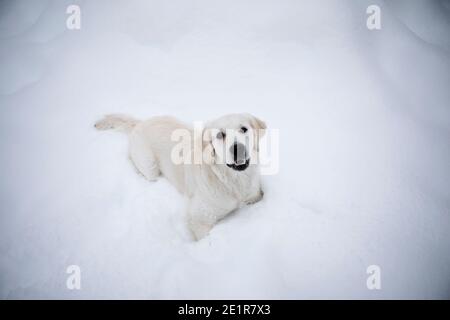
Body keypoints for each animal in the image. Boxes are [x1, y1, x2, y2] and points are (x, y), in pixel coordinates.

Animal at [94, 113, 264, 240]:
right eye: (220, 135)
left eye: (244, 129)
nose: (238, 149)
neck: (232, 180)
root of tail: (141, 122)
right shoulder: (199, 219)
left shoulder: (254, 195)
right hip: (149, 166)